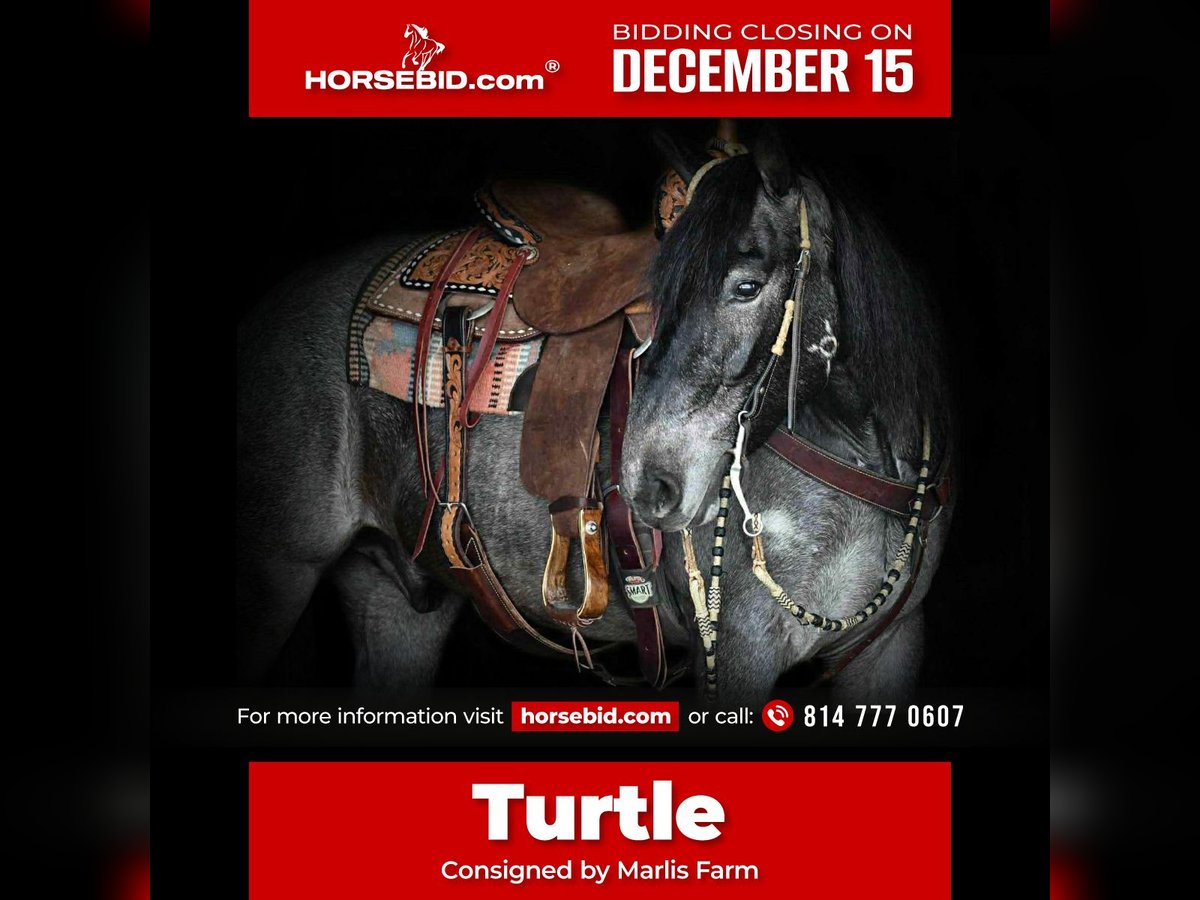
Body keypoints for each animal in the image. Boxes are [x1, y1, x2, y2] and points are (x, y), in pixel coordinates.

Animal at [235, 128, 954, 704]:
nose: (647, 485)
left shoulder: (892, 650)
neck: (859, 454)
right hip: (276, 574)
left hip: (398, 601)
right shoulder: (740, 652)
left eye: (747, 287)